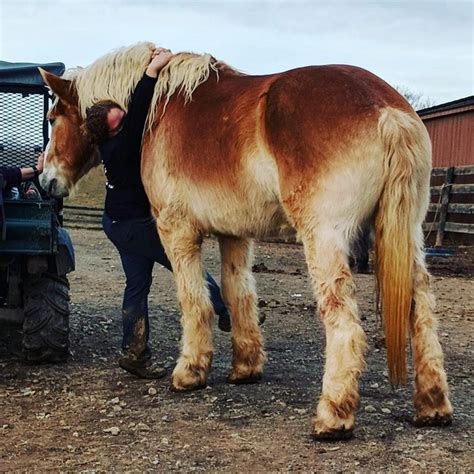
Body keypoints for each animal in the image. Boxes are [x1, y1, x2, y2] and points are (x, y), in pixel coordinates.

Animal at [39, 42, 452, 438]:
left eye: (53, 118)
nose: (45, 180)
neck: (157, 109)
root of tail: (388, 110)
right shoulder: (234, 235)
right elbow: (238, 294)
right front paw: (246, 367)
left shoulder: (176, 231)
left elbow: (195, 301)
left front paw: (189, 372)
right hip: (407, 235)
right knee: (421, 310)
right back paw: (432, 405)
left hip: (325, 238)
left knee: (344, 321)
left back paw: (333, 417)